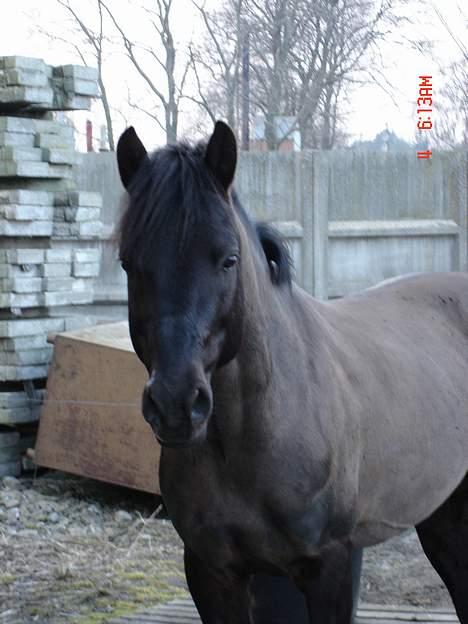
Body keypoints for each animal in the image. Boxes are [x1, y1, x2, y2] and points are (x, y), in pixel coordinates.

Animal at [116, 122, 468, 624]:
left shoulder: (330, 567)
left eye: (228, 259)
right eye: (129, 263)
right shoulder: (211, 572)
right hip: (444, 513)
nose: (176, 404)